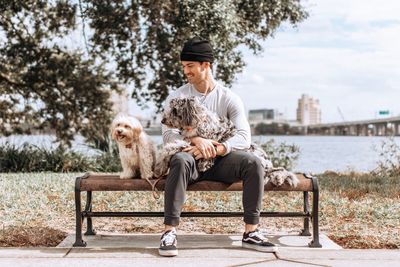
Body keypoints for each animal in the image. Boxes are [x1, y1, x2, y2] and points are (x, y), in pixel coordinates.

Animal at [155, 97, 298, 188]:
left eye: (174, 110)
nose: (162, 120)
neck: (197, 122)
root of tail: (268, 161)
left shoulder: (202, 143)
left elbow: (171, 147)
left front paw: (160, 165)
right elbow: (173, 145)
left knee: (278, 170)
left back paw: (278, 177)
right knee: (278, 170)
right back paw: (278, 178)